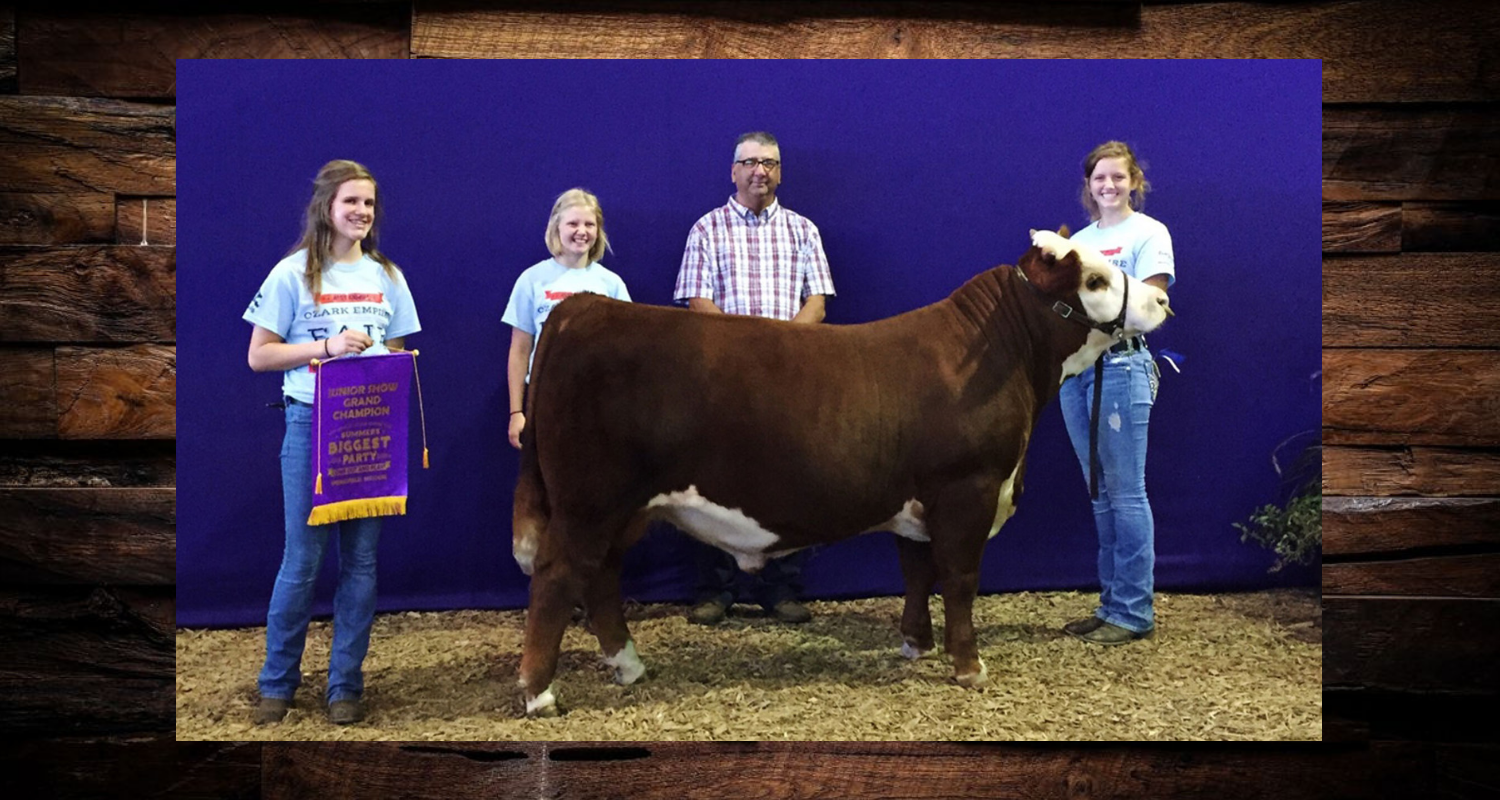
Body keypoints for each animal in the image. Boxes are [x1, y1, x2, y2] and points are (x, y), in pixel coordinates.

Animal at [510, 228, 1172, 716]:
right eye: (1095, 280)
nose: (1162, 300)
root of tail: (580, 313)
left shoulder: (920, 502)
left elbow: (916, 572)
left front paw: (915, 645)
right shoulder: (968, 488)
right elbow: (959, 579)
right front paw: (969, 668)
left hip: (622, 509)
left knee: (602, 576)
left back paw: (628, 665)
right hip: (589, 501)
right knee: (559, 575)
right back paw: (540, 694)